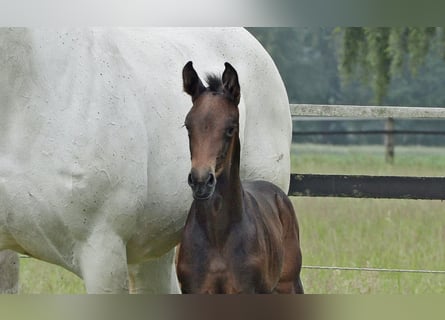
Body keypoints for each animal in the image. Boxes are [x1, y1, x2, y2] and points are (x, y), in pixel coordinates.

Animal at [175, 61, 304, 294]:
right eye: (188, 125)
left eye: (230, 128)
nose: (201, 181)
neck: (218, 235)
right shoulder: (195, 289)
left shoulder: (246, 289)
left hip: (287, 283)